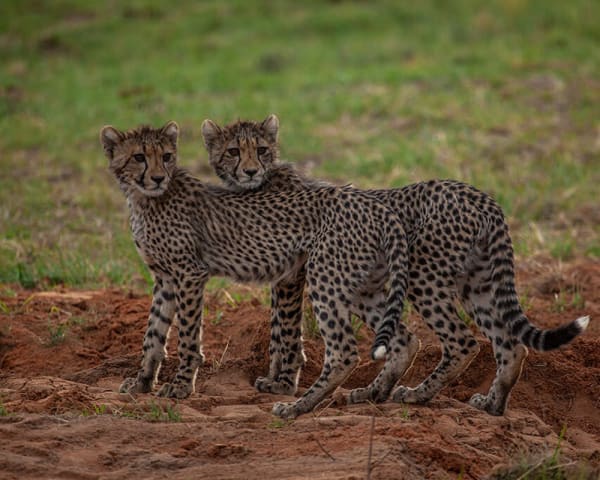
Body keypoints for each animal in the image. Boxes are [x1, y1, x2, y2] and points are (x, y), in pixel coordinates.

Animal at [101, 121, 418, 420]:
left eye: (166, 156)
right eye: (139, 157)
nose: (157, 178)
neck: (145, 199)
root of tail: (372, 203)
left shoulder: (190, 274)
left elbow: (189, 335)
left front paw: (180, 386)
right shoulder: (165, 278)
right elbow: (153, 334)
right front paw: (142, 383)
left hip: (326, 278)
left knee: (343, 352)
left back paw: (297, 407)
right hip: (361, 285)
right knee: (403, 338)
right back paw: (374, 392)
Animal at [203, 114, 592, 414]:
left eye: (262, 150)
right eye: (234, 151)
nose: (250, 171)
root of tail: (477, 194)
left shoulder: (290, 276)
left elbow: (283, 330)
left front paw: (281, 384)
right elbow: (277, 329)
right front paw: (278, 379)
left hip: (417, 274)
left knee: (461, 341)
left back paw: (415, 395)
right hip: (471, 282)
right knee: (504, 343)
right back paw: (479, 403)